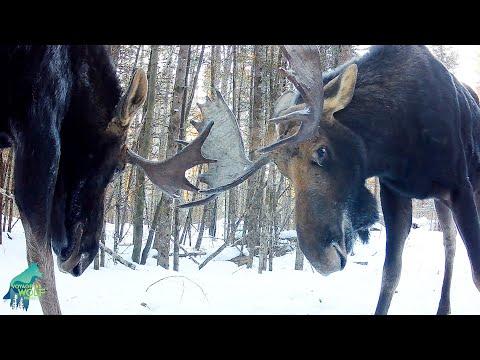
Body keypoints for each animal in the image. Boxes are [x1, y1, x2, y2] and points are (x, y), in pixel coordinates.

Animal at [186, 45, 480, 316]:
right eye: (283, 169)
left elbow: (476, 271)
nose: (322, 260)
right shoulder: (394, 193)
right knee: (450, 243)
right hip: (438, 200)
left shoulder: (460, 188)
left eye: (321, 151)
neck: (398, 145)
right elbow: (390, 275)